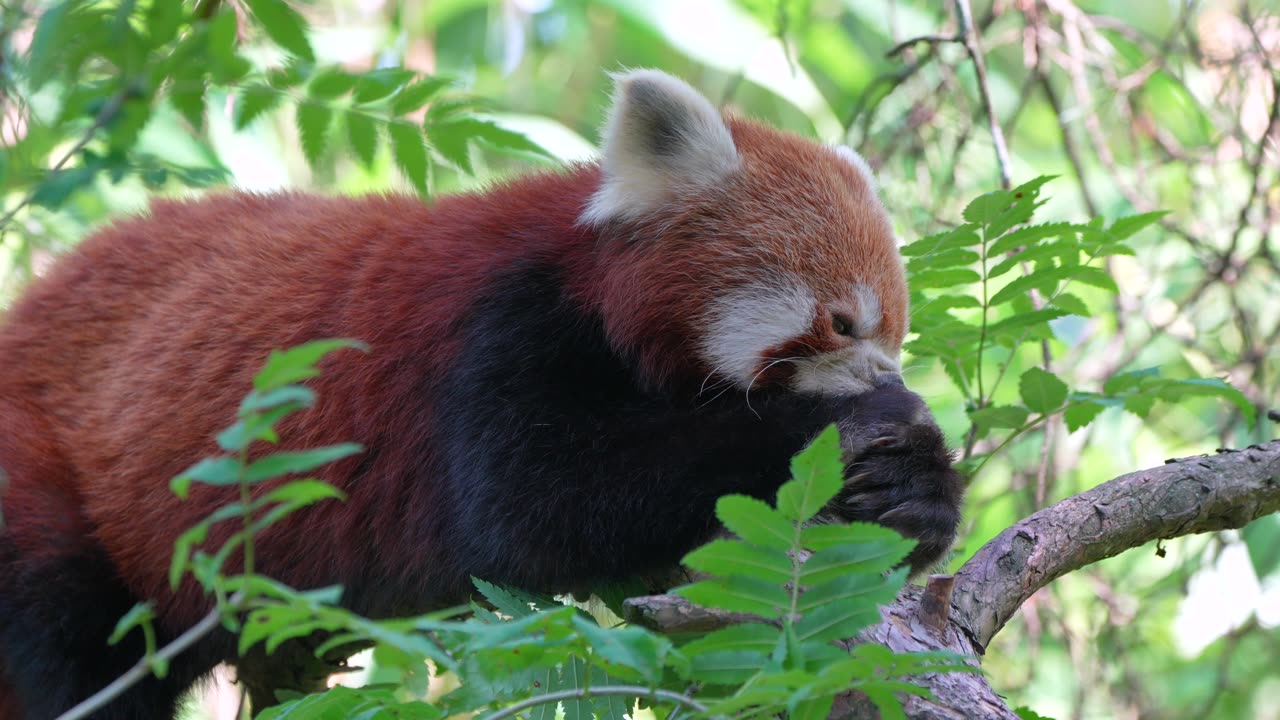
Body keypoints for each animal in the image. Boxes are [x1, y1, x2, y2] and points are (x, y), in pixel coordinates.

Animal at [0, 70, 962, 712]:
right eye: (842, 323)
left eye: (896, 333)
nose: (889, 377)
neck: (590, 284)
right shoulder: (492, 335)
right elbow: (535, 501)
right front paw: (865, 423)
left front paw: (914, 493)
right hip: (45, 479)